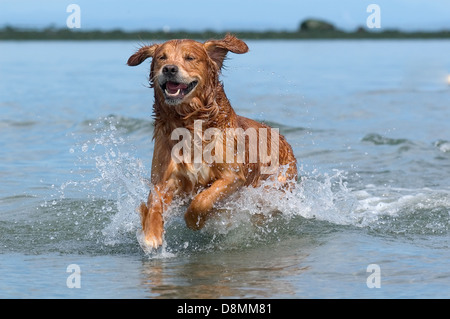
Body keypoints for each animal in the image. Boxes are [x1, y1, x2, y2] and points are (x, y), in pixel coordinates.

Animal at [126, 35, 298, 250]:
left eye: (190, 58)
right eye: (161, 57)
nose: (169, 69)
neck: (189, 123)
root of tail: (282, 138)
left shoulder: (232, 176)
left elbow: (202, 200)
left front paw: (194, 221)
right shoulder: (162, 178)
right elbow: (154, 202)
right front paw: (151, 234)